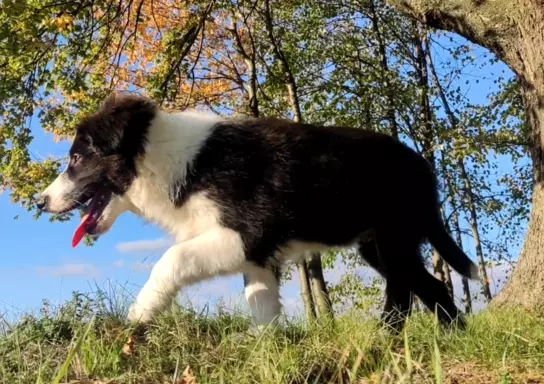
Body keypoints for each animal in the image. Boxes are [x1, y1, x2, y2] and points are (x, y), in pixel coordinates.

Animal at [38, 92, 478, 330]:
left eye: (75, 159)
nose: (41, 202)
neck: (173, 160)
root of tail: (424, 166)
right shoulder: (259, 257)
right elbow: (261, 304)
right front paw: (269, 353)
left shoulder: (251, 234)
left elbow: (173, 258)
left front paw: (139, 315)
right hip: (377, 244)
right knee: (430, 286)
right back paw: (451, 338)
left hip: (393, 235)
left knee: (405, 291)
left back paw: (388, 337)